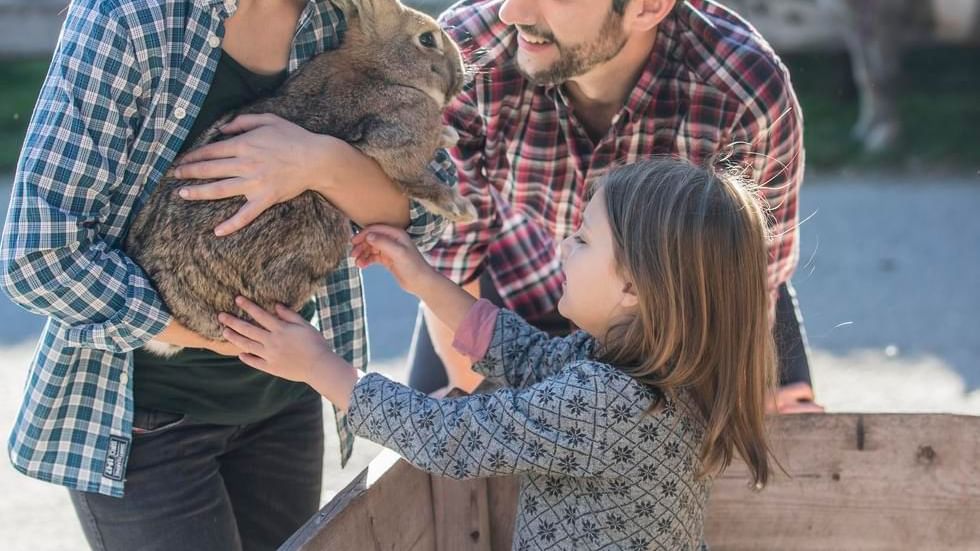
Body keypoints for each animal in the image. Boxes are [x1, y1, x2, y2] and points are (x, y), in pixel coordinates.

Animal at [124, 0, 472, 358]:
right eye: (427, 39)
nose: (460, 77)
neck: (376, 67)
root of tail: (178, 309)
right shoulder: (397, 141)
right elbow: (418, 179)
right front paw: (461, 209)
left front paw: (448, 136)